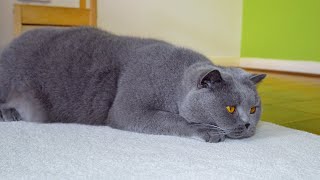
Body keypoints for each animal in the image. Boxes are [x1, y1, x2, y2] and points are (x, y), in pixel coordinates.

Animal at [0, 27, 264, 142]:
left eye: (253, 109)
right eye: (230, 108)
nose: (248, 124)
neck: (174, 81)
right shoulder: (127, 108)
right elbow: (172, 119)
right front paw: (206, 131)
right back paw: (10, 113)